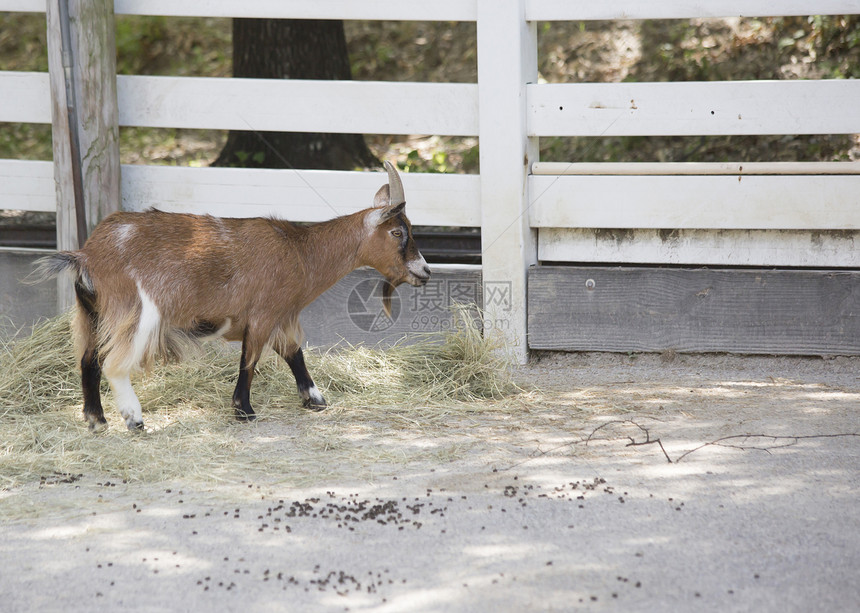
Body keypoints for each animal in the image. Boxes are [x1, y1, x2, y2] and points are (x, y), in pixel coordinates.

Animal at [35, 163, 430, 430]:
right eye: (398, 232)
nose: (424, 271)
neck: (300, 251)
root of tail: (87, 255)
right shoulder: (263, 315)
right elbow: (250, 360)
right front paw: (244, 410)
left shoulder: (281, 317)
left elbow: (294, 354)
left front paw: (314, 399)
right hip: (137, 311)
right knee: (114, 363)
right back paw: (134, 419)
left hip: (91, 313)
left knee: (88, 360)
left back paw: (96, 421)